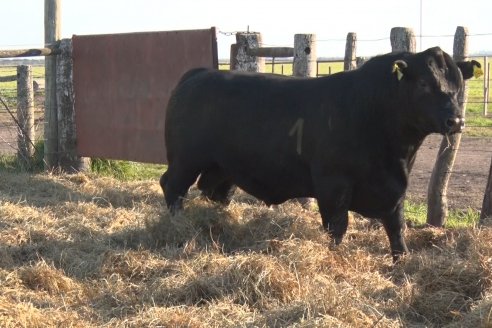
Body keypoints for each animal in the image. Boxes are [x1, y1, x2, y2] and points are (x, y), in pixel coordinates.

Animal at [160, 46, 480, 262]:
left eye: (458, 85)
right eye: (424, 83)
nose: (456, 120)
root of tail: (201, 73)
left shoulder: (394, 188)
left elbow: (396, 228)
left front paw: (401, 262)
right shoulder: (332, 183)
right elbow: (337, 227)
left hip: (221, 167)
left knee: (213, 192)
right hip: (186, 159)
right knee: (172, 186)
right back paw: (176, 226)